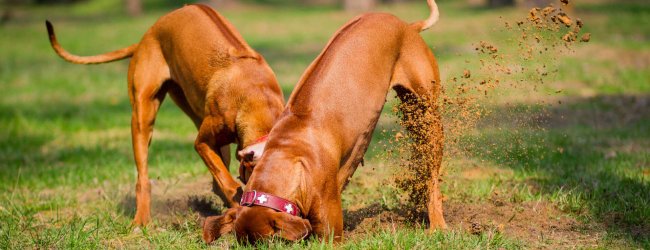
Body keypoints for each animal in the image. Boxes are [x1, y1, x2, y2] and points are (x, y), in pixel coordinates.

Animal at [46, 4, 284, 227]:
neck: (259, 99)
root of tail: (146, 36)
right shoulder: (203, 142)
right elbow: (227, 180)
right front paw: (235, 206)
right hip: (143, 116)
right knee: (143, 177)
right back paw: (141, 220)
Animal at [204, 0, 446, 243]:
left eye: (268, 243)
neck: (288, 151)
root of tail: (408, 26)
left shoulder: (329, 229)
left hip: (428, 119)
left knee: (433, 176)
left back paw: (437, 223)